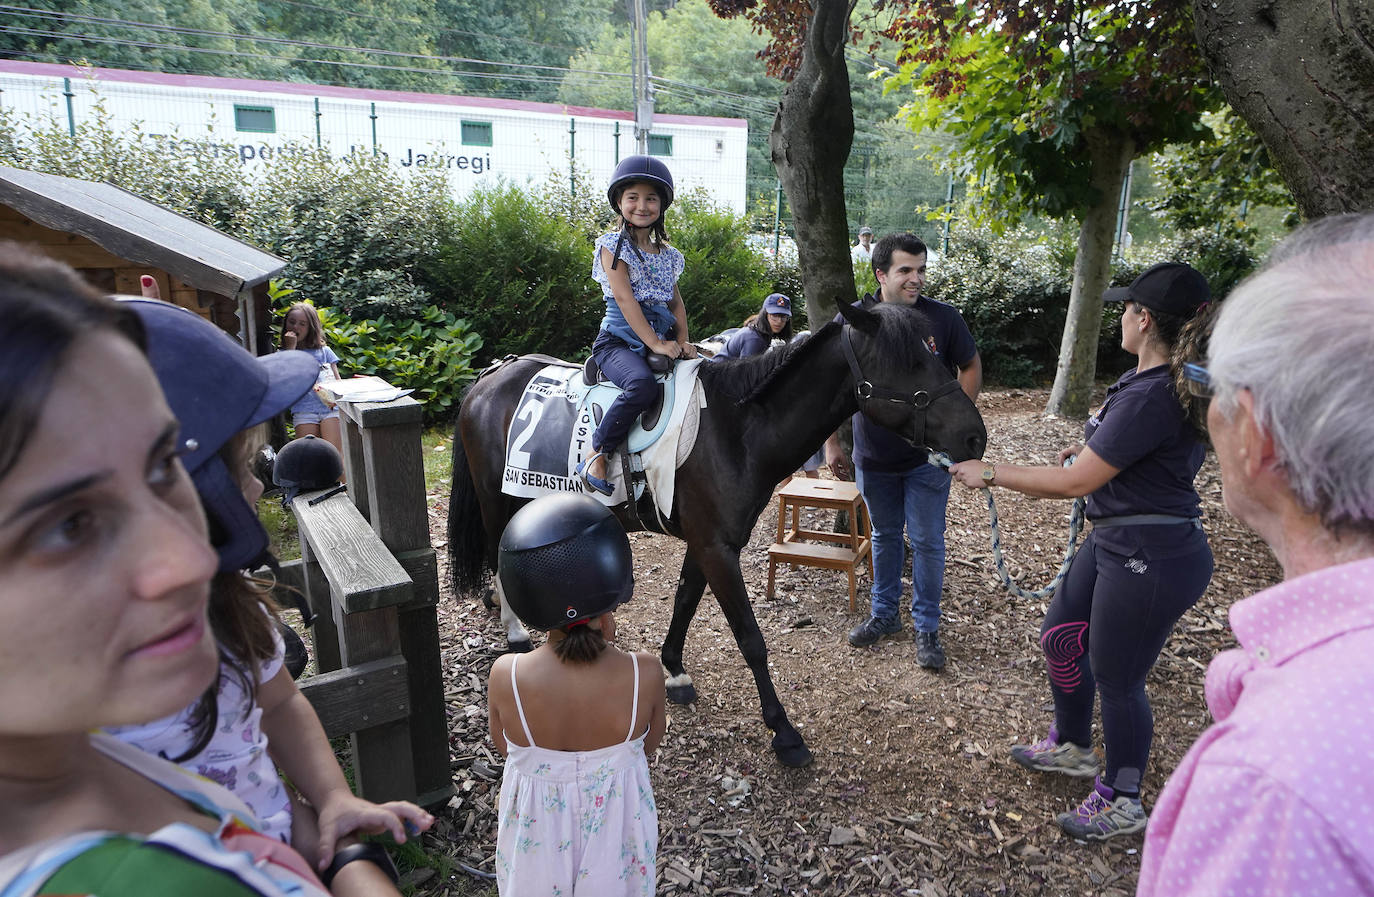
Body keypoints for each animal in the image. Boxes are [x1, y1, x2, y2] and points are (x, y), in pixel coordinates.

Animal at [450, 300, 989, 763]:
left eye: (935, 352)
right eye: (910, 363)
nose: (974, 436)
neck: (737, 428)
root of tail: (492, 375)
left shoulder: (706, 542)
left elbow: (686, 600)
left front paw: (673, 670)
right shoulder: (717, 549)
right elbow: (750, 637)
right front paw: (783, 732)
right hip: (498, 498)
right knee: (499, 553)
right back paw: (516, 630)